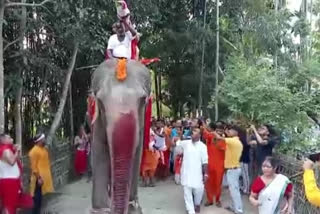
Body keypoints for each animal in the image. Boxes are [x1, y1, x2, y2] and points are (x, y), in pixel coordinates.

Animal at [89, 59, 151, 214]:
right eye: (100, 102)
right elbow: (99, 151)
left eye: (143, 100)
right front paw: (100, 209)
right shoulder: (97, 124)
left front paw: (133, 207)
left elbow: (137, 153)